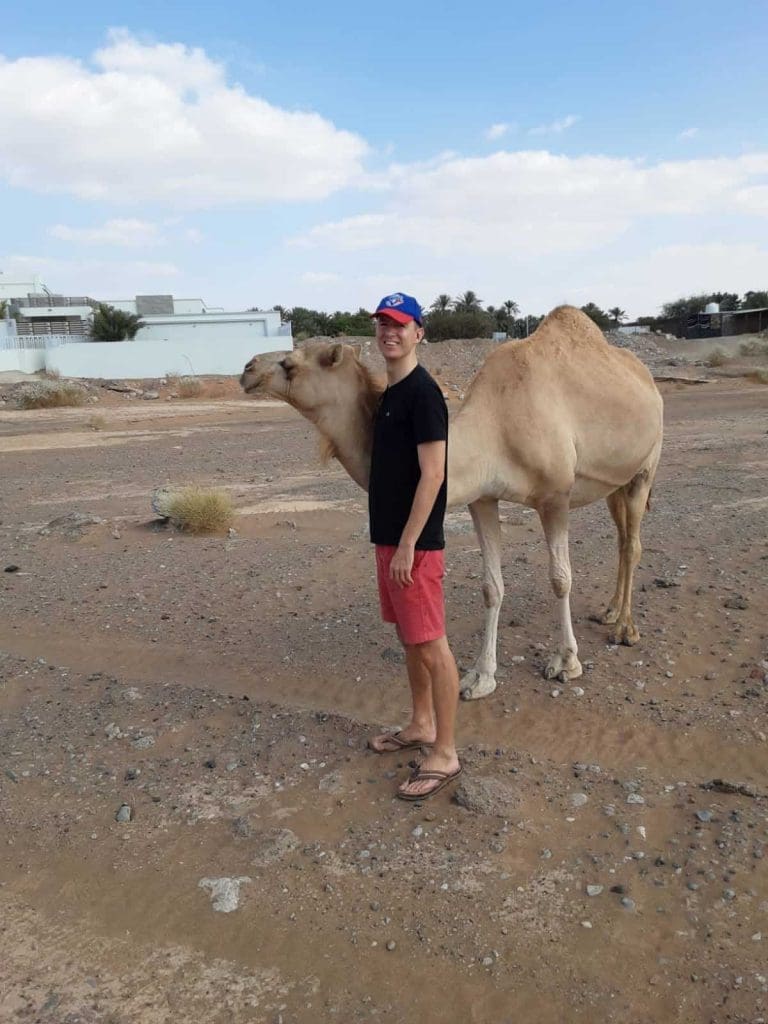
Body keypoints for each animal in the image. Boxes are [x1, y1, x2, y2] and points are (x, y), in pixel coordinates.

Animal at [240, 305, 663, 700]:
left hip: (646, 467)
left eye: (290, 364)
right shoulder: (484, 498)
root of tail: (647, 378)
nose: (247, 368)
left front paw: (565, 662)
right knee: (622, 539)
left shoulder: (554, 496)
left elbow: (561, 579)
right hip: (614, 484)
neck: (493, 431)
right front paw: (480, 677)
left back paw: (625, 629)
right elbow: (491, 586)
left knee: (633, 544)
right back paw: (609, 611)